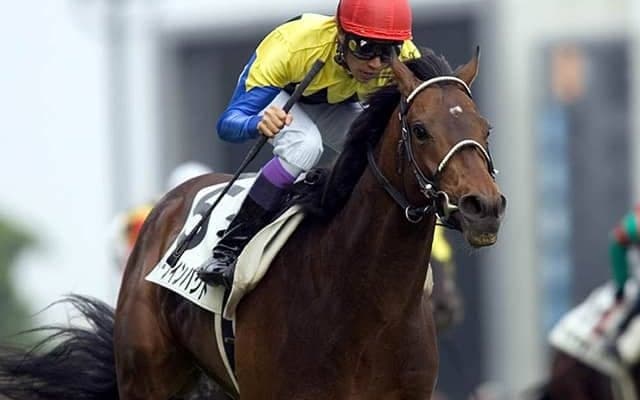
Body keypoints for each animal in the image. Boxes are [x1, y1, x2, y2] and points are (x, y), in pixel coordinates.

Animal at [0, 48, 505, 400]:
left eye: (485, 128)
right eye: (420, 129)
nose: (484, 206)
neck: (363, 303)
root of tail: (170, 202)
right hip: (147, 375)